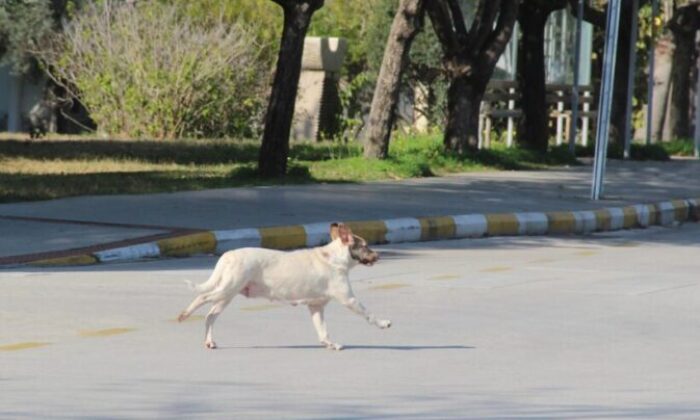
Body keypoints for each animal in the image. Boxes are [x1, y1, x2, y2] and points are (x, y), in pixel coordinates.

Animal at [178, 223, 392, 352]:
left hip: (227, 295)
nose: (378, 256)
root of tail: (228, 255)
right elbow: (368, 314)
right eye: (365, 246)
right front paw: (383, 323)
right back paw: (184, 315)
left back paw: (209, 341)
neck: (334, 258)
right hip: (226, 290)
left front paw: (330, 344)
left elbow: (323, 331)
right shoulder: (349, 299)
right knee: (201, 298)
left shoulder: (316, 307)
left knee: (210, 316)